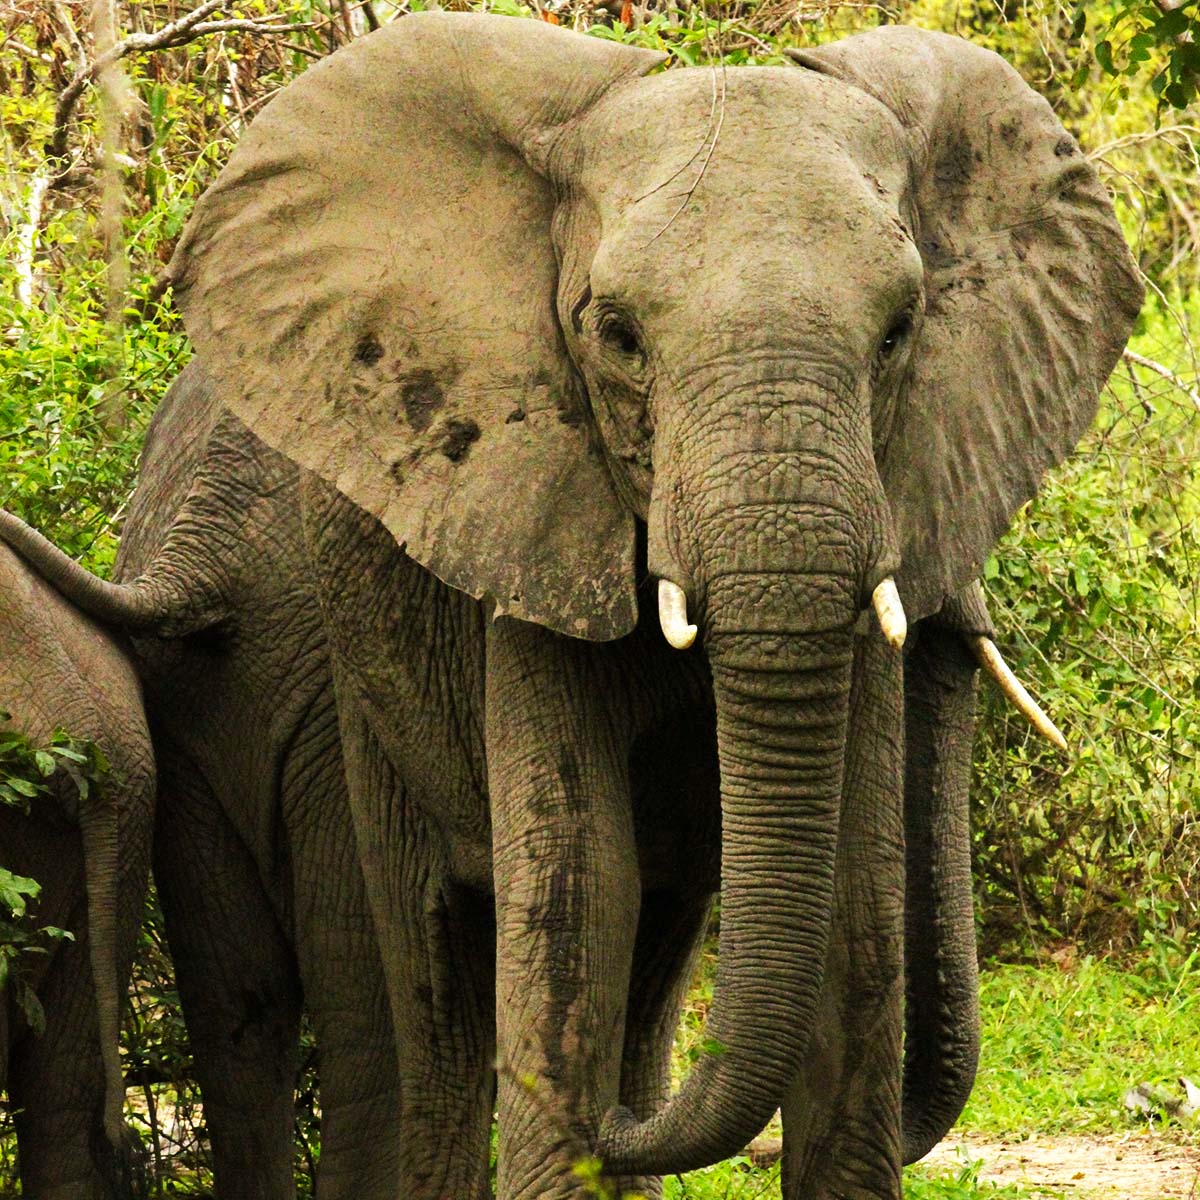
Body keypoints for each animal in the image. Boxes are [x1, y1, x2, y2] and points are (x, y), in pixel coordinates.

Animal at [0, 11, 1137, 1200]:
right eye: (617, 335)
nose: (614, 1124)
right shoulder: (529, 535)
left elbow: (851, 924)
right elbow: (582, 898)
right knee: (409, 991)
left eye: (900, 330)